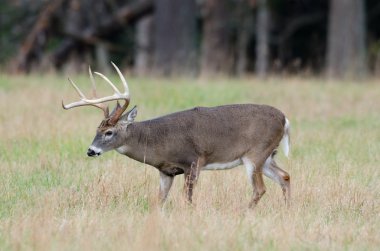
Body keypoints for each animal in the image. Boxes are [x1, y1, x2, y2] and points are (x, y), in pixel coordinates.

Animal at [62, 62, 290, 208]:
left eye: (109, 132)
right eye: (96, 130)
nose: (91, 151)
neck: (158, 142)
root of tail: (285, 118)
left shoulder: (193, 161)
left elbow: (187, 199)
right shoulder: (166, 171)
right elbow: (159, 200)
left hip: (255, 153)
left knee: (260, 188)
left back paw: (244, 212)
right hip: (267, 155)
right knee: (285, 176)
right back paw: (286, 209)